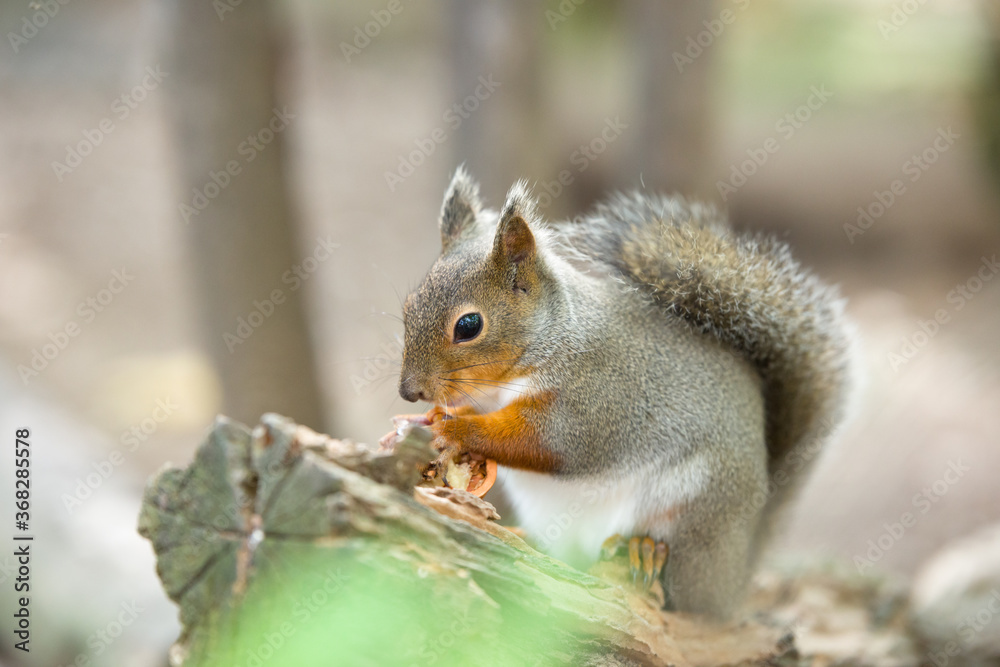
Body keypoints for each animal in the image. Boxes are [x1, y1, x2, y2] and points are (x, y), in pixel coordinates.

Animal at [397, 166, 853, 619]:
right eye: (408, 307)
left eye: (469, 325)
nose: (408, 392)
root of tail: (735, 580)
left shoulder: (596, 397)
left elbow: (550, 442)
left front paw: (454, 431)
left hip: (695, 508)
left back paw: (643, 548)